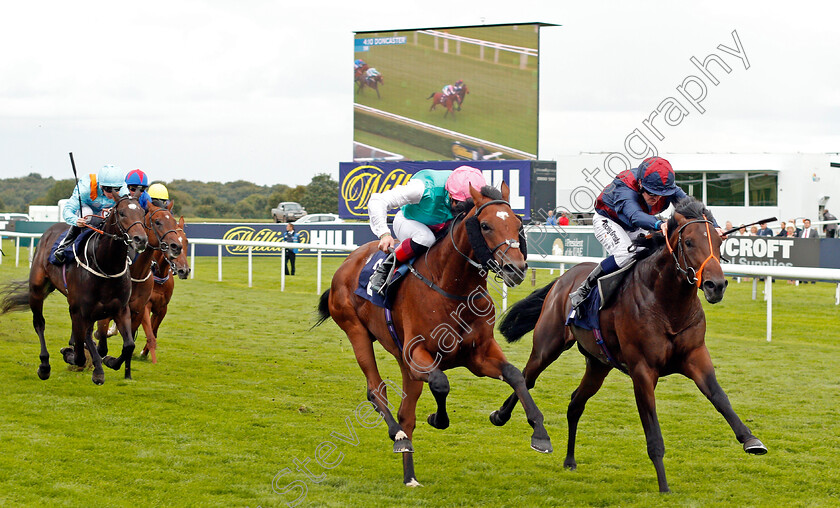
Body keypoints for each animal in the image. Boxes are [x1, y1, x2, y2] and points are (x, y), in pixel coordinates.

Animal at [0, 196, 148, 382]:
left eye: (143, 212)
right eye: (122, 213)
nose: (140, 239)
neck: (106, 267)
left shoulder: (120, 309)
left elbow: (128, 345)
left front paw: (109, 362)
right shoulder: (79, 310)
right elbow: (79, 355)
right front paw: (72, 355)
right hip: (37, 291)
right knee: (39, 324)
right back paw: (44, 365)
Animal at [316, 185, 552, 486]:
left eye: (518, 224)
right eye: (485, 226)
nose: (516, 268)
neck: (453, 289)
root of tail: (348, 261)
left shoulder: (478, 355)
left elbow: (515, 375)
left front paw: (538, 432)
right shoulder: (417, 353)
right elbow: (441, 383)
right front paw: (437, 419)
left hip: (404, 363)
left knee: (406, 413)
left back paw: (410, 476)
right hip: (356, 331)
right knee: (376, 390)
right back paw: (398, 435)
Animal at [488, 199, 764, 492]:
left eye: (720, 241)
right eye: (689, 242)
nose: (716, 285)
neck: (667, 305)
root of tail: (565, 277)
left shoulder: (695, 356)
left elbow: (719, 397)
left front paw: (750, 439)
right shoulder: (643, 370)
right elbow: (653, 433)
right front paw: (664, 487)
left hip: (598, 364)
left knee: (575, 403)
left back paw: (570, 460)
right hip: (547, 346)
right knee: (527, 377)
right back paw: (503, 417)